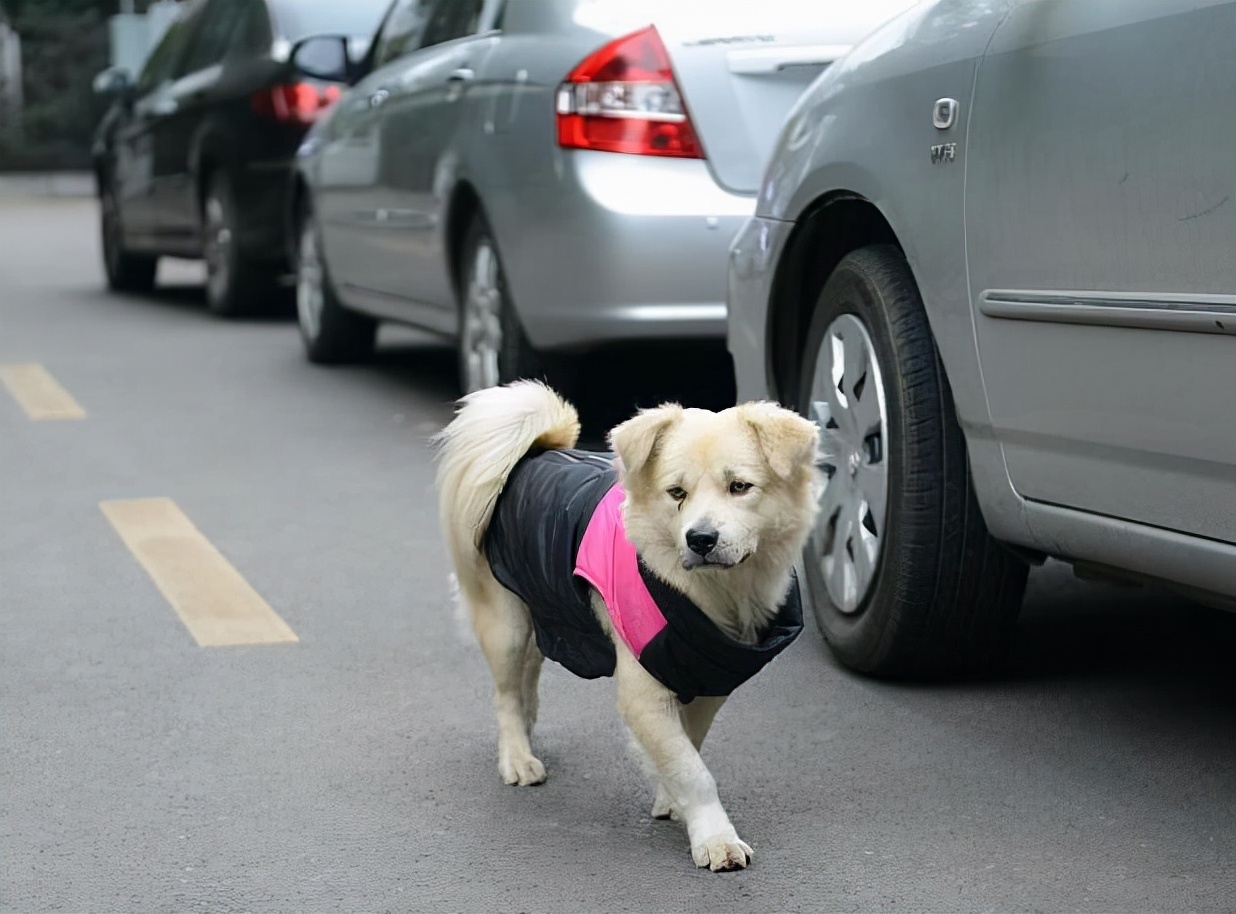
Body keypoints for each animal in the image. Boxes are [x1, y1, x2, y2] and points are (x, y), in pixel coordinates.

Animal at [435, 380, 820, 870]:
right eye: (676, 493)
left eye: (739, 487)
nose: (700, 539)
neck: (714, 592)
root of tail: (530, 455)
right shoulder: (643, 693)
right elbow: (693, 769)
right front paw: (715, 838)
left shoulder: (710, 677)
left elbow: (688, 746)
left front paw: (672, 800)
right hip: (506, 623)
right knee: (504, 692)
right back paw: (517, 756)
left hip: (546, 608)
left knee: (529, 674)